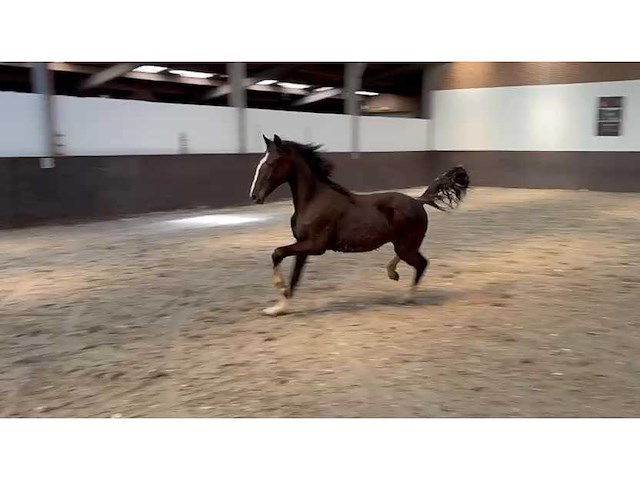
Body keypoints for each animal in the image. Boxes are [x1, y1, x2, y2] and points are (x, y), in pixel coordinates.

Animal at [249, 134, 470, 316]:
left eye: (271, 163)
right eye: (260, 162)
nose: (254, 196)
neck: (313, 200)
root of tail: (419, 201)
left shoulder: (315, 246)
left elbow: (277, 253)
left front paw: (279, 290)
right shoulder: (303, 246)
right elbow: (294, 277)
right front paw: (278, 308)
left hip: (406, 246)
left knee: (422, 263)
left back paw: (407, 297)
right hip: (402, 243)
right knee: (413, 258)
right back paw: (392, 273)